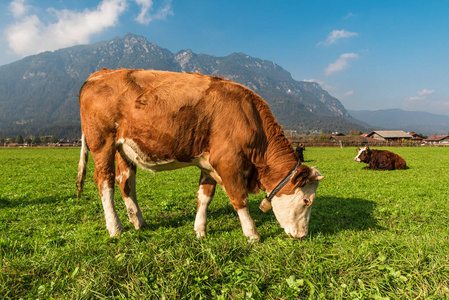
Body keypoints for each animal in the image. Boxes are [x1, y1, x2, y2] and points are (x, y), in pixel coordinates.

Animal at [77, 68, 322, 241]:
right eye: (307, 200)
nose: (303, 236)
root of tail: (100, 72)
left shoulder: (208, 163)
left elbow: (205, 196)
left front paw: (200, 230)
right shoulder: (228, 161)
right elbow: (239, 198)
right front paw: (252, 234)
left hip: (124, 148)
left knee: (126, 182)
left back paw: (138, 221)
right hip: (102, 143)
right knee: (105, 182)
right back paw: (115, 228)